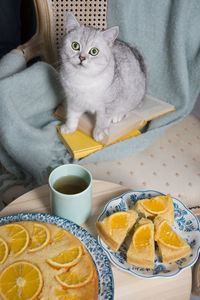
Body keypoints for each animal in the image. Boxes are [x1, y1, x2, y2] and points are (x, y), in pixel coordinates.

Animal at [59, 12, 145, 142]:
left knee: (127, 107)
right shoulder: (73, 99)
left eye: (94, 51)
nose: (81, 58)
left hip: (133, 96)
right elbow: (72, 115)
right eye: (75, 45)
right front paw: (69, 128)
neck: (83, 80)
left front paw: (99, 132)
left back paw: (118, 115)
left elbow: (103, 119)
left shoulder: (108, 104)